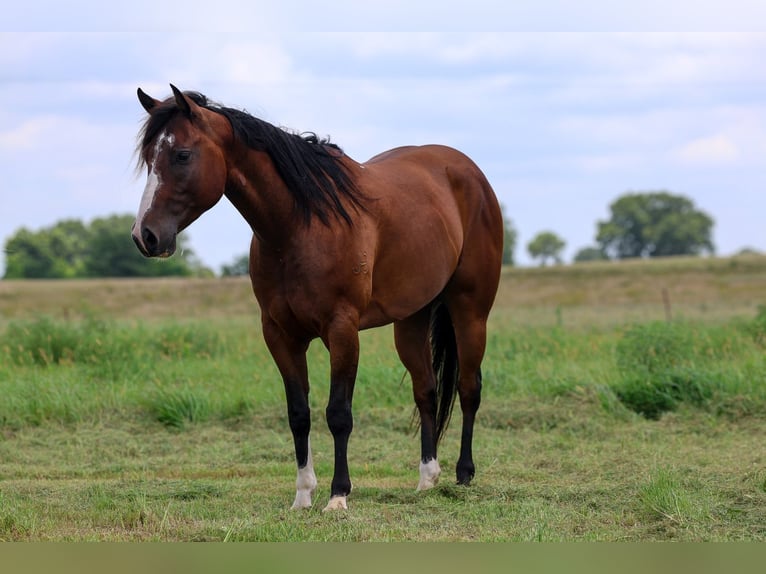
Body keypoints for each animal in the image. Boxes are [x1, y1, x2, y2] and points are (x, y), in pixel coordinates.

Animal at [132, 84, 503, 511]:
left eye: (181, 155)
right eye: (148, 158)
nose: (145, 236)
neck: (300, 225)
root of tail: (467, 171)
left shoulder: (342, 331)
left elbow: (338, 413)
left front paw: (338, 495)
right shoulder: (280, 335)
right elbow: (299, 414)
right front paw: (303, 494)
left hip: (470, 311)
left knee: (469, 388)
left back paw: (464, 474)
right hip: (411, 319)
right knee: (425, 391)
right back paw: (427, 479)